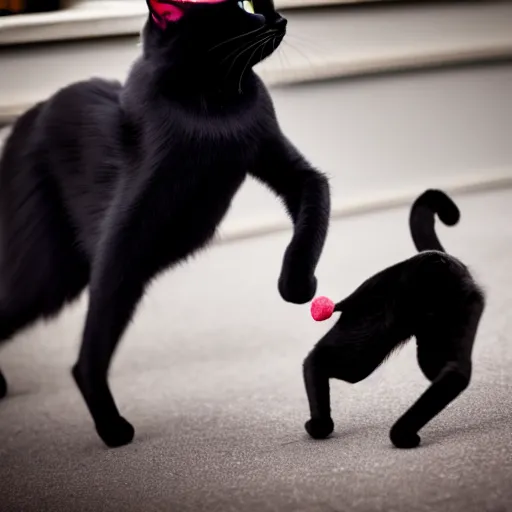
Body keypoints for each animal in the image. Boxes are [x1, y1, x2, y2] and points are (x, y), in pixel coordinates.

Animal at [0, 0, 330, 448]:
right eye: (244, 7)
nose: (280, 19)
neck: (213, 102)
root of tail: (24, 119)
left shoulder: (294, 170)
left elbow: (313, 210)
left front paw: (296, 286)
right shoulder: (123, 235)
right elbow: (94, 342)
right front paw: (111, 426)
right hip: (45, 273)